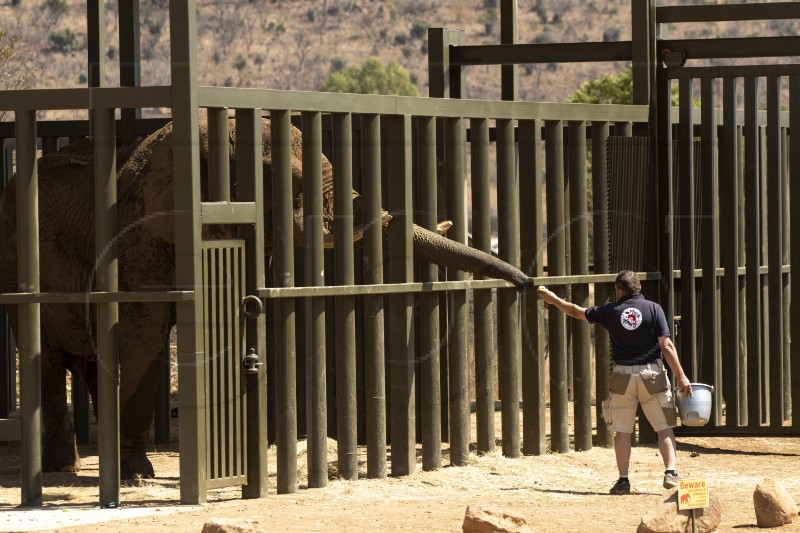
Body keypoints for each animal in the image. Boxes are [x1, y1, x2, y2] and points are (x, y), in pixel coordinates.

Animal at [0, 116, 532, 478]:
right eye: (291, 183)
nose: (530, 285)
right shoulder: (140, 234)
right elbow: (143, 335)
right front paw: (139, 474)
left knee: (90, 358)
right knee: (48, 359)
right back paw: (63, 470)